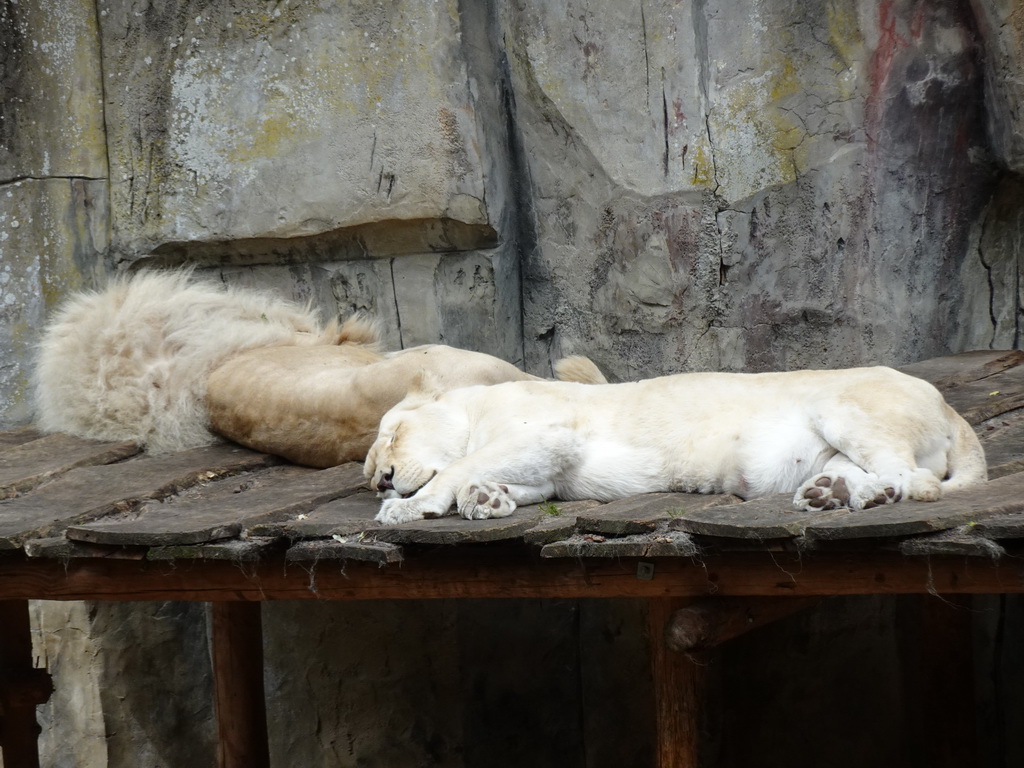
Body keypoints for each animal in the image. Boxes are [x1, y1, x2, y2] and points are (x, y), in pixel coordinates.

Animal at [366, 364, 983, 524]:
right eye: (370, 468)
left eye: (391, 436)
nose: (381, 480)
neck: (477, 405)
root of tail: (948, 404)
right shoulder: (551, 465)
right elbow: (509, 481)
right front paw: (487, 500)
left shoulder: (549, 432)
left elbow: (460, 466)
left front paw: (405, 508)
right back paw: (827, 493)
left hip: (843, 405)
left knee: (919, 482)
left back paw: (864, 498)